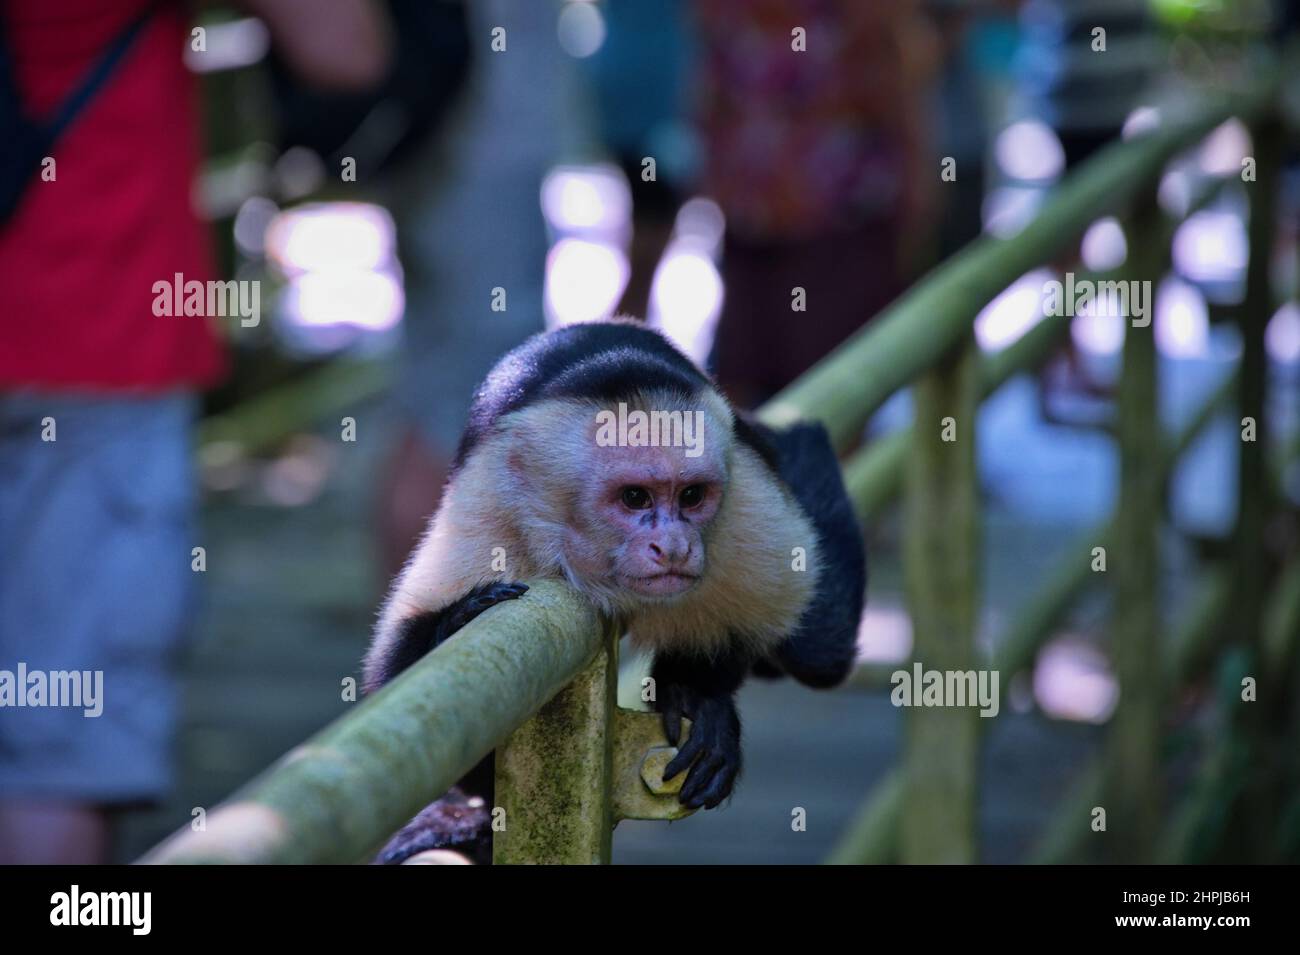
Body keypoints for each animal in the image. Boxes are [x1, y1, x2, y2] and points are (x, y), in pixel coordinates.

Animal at [364, 318, 866, 837]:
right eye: (634, 497)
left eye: (691, 496)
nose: (674, 546)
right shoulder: (491, 506)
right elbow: (417, 707)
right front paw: (461, 619)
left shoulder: (747, 500)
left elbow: (753, 622)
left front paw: (698, 697)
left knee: (820, 654)